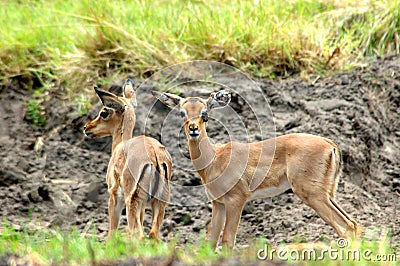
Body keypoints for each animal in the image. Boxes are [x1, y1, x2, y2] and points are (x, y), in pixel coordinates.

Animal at [83, 79, 171, 241]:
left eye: (104, 112)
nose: (87, 127)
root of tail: (154, 154)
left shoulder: (114, 195)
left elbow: (112, 231)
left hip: (132, 201)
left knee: (139, 235)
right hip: (158, 202)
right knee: (153, 234)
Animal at [152, 89, 358, 249]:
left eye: (205, 113)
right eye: (182, 113)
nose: (193, 129)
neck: (215, 159)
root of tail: (330, 144)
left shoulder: (236, 201)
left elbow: (228, 241)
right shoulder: (218, 204)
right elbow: (210, 241)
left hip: (312, 194)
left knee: (346, 226)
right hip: (328, 194)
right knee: (353, 224)